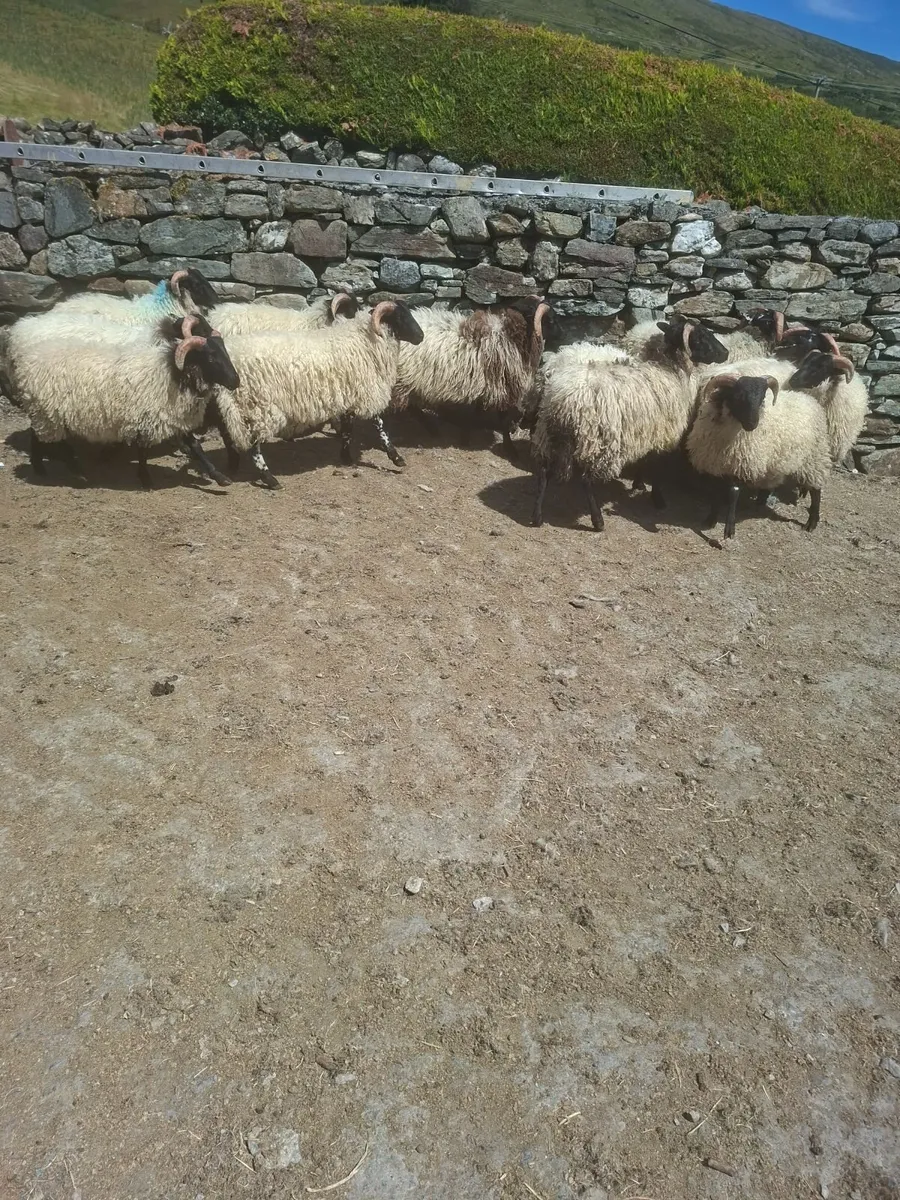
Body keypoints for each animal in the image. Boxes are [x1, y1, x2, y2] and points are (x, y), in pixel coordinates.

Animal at [8, 313, 239, 488]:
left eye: (225, 351)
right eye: (211, 357)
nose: (235, 381)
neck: (172, 371)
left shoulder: (170, 416)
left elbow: (195, 446)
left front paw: (219, 477)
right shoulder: (149, 417)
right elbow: (143, 451)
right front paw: (145, 479)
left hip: (48, 412)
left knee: (38, 436)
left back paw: (45, 468)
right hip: (48, 412)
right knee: (46, 439)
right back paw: (70, 472)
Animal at [213, 299, 423, 488]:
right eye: (400, 317)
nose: (421, 336)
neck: (365, 341)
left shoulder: (348, 396)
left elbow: (347, 430)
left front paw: (346, 457)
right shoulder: (365, 392)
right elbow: (379, 426)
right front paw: (396, 457)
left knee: (228, 434)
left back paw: (233, 464)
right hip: (257, 405)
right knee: (254, 445)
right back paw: (270, 479)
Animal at [391, 297, 555, 455]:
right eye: (547, 318)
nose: (558, 330)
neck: (509, 335)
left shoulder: (482, 384)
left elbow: (475, 413)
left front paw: (465, 435)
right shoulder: (501, 387)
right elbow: (502, 420)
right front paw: (509, 448)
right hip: (403, 379)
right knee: (410, 407)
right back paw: (431, 427)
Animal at [530, 316, 729, 530]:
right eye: (700, 337)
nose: (726, 353)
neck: (668, 370)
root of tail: (563, 399)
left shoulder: (644, 432)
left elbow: (643, 460)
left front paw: (638, 484)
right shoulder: (662, 434)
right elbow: (656, 469)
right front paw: (658, 499)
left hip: (549, 434)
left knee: (543, 473)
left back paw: (537, 516)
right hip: (596, 440)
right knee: (586, 481)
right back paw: (597, 521)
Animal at [686, 372, 830, 539]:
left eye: (763, 397)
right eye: (738, 396)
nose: (752, 424)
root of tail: (810, 400)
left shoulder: (740, 465)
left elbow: (733, 493)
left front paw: (729, 529)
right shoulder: (714, 465)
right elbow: (715, 493)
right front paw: (710, 520)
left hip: (814, 458)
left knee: (816, 491)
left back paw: (811, 523)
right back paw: (760, 502)